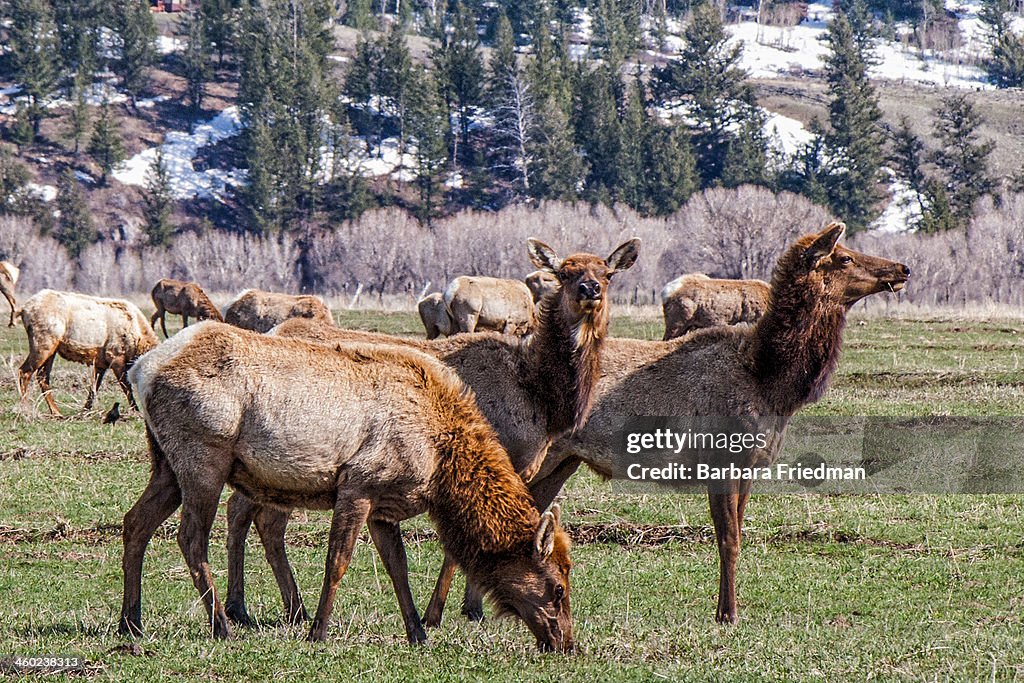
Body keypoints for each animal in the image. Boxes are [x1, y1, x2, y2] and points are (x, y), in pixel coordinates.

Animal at [18, 290, 157, 417]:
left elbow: (94, 387)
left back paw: (56, 412)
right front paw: (136, 411)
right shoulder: (115, 357)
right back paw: (26, 410)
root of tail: (24, 309)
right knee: (24, 371)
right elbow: (126, 388)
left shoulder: (101, 363)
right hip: (43, 343)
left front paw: (85, 411)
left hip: (51, 348)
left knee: (42, 376)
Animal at [117, 325, 577, 651]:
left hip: (166, 466)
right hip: (203, 459)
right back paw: (221, 626)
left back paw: (130, 621)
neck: (440, 463)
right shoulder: (359, 484)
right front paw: (317, 631)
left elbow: (398, 567)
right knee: (190, 537)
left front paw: (418, 633)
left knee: (135, 522)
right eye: (558, 588)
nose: (566, 644)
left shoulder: (385, 505)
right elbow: (337, 561)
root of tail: (140, 370)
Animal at [222, 239, 638, 630]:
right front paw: (447, 611)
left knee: (252, 513)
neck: (541, 395)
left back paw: (272, 608)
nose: (589, 289)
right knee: (252, 513)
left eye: (606, 273)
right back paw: (253, 608)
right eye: (564, 273)